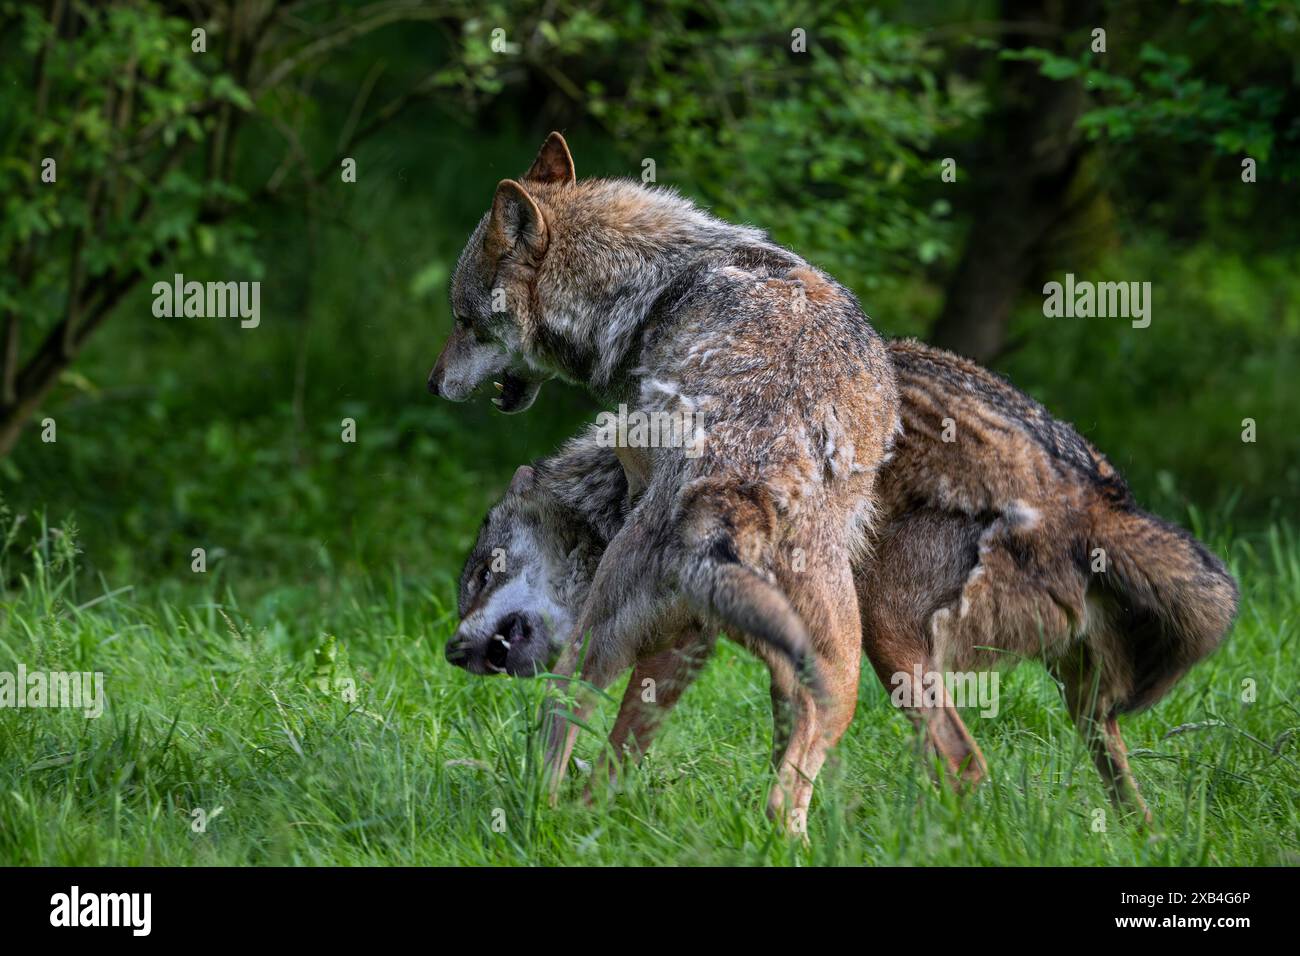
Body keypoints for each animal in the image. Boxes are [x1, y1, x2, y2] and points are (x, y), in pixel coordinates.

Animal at [431, 130, 899, 827]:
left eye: (463, 321)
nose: (433, 383)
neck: (658, 287)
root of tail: (730, 495)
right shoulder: (691, 643)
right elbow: (625, 749)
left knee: (565, 723)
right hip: (834, 678)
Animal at [447, 335, 1237, 822]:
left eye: (481, 573)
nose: (452, 651)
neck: (617, 495)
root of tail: (1093, 498)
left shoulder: (653, 640)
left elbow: (595, 750)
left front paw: (570, 824)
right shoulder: (716, 650)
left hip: (884, 637)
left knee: (964, 763)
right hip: (1081, 700)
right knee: (1109, 778)